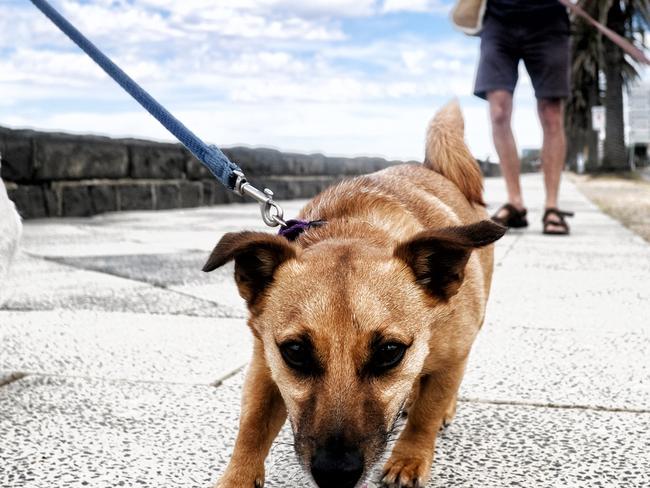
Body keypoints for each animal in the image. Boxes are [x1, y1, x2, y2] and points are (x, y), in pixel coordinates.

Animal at [205, 101, 504, 486]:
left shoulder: (453, 356)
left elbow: (426, 414)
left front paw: (409, 457)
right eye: (295, 352)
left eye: (390, 352)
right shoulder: (264, 365)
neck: (355, 229)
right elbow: (252, 426)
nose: (336, 473)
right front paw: (237, 477)